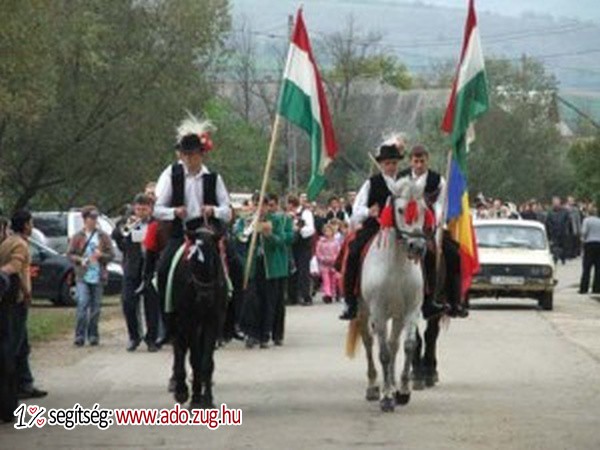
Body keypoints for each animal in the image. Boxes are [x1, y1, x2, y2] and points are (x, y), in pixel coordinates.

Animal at [346, 176, 426, 412]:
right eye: (400, 210)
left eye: (423, 209)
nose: (417, 247)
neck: (396, 265)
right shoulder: (379, 313)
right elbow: (383, 354)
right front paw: (387, 396)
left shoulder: (411, 311)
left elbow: (408, 347)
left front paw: (403, 391)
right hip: (364, 313)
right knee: (369, 343)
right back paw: (374, 387)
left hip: (397, 316)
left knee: (393, 345)